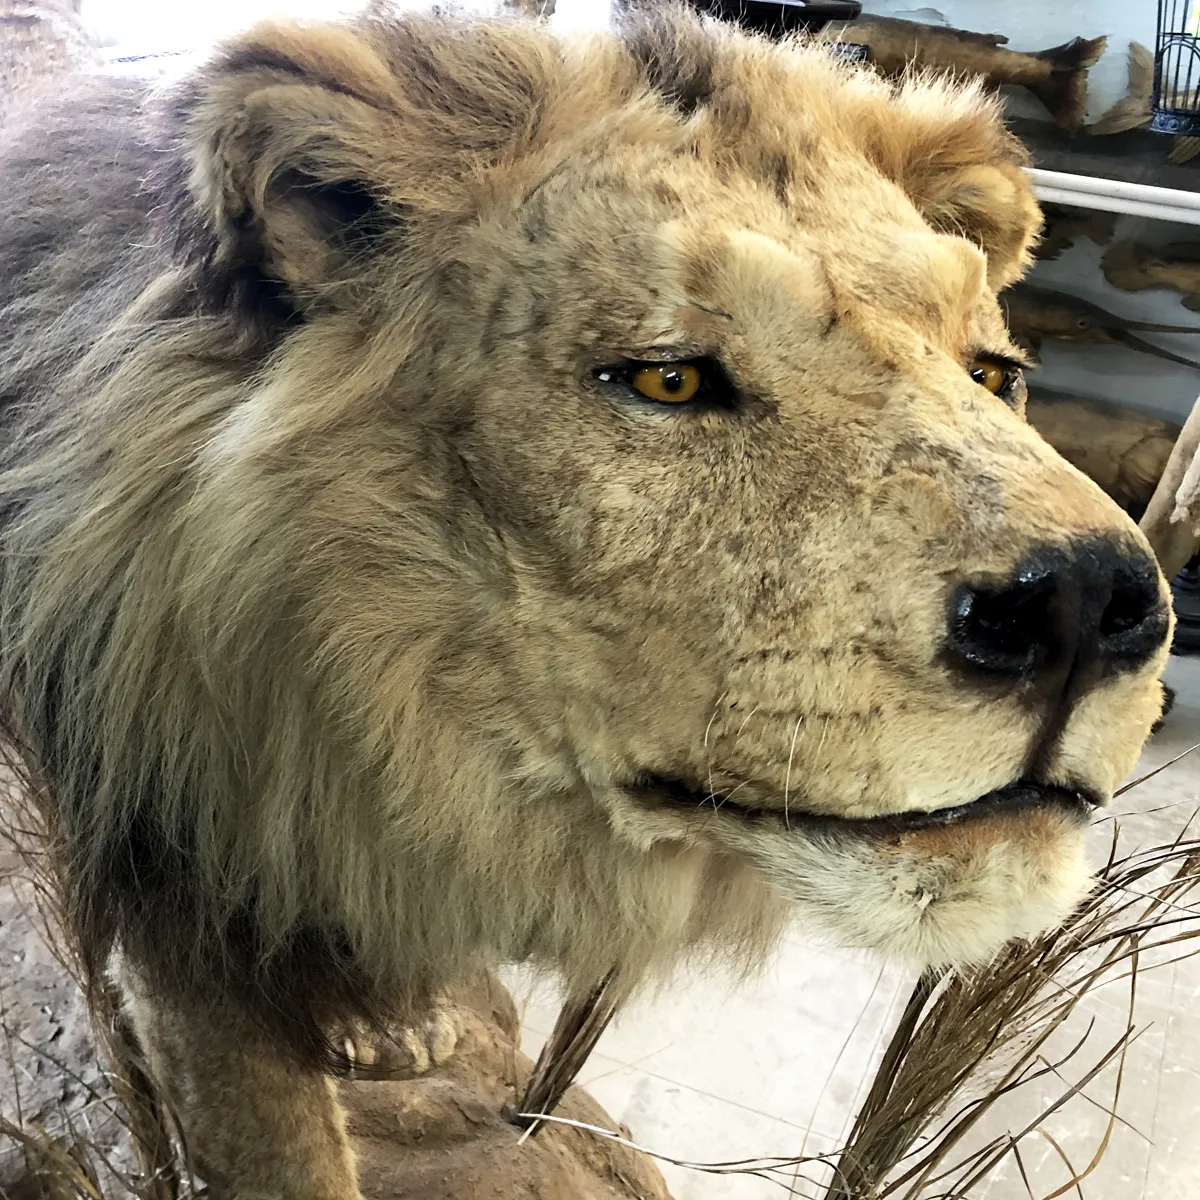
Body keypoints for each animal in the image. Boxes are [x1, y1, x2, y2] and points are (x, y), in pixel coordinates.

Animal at [0, 5, 1172, 1197]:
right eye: (667, 379)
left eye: (991, 373)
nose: (1085, 603)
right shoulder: (166, 885)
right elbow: (279, 1149)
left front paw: (395, 1014)